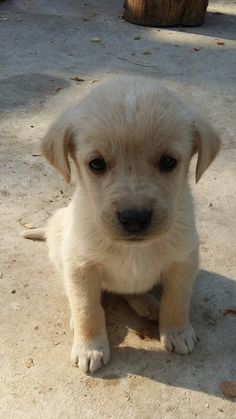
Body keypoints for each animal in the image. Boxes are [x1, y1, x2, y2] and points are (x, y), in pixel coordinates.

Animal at [21, 78, 219, 374]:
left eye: (169, 161)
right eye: (96, 164)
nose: (134, 218)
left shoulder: (184, 260)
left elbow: (177, 300)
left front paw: (177, 331)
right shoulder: (80, 266)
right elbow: (87, 308)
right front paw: (89, 347)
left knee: (132, 291)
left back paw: (147, 303)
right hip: (58, 243)